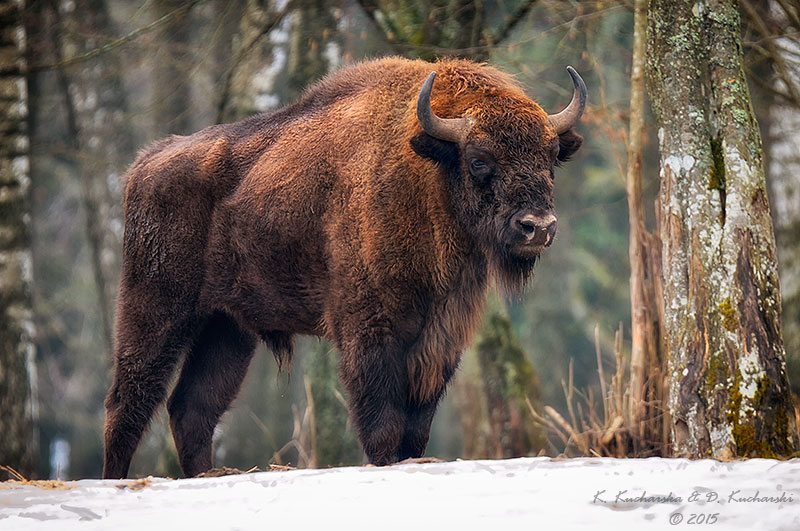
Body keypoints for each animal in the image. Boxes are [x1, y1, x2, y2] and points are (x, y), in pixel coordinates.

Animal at [103, 56, 584, 480]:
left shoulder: (441, 337)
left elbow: (417, 424)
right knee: (128, 403)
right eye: (480, 160)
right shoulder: (370, 330)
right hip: (155, 310)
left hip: (226, 327)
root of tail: (145, 165)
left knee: (193, 408)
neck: (427, 175)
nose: (537, 227)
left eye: (550, 158)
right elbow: (382, 417)